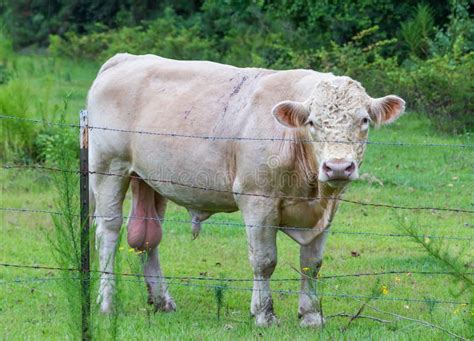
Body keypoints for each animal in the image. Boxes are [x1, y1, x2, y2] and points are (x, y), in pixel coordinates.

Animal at [88, 51, 404, 326]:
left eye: (364, 120)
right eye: (313, 122)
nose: (338, 167)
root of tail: (125, 59)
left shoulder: (328, 208)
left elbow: (311, 263)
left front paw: (311, 316)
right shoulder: (257, 200)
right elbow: (264, 261)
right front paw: (264, 314)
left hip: (149, 180)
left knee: (146, 236)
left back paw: (162, 300)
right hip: (108, 167)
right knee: (109, 232)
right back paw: (107, 302)